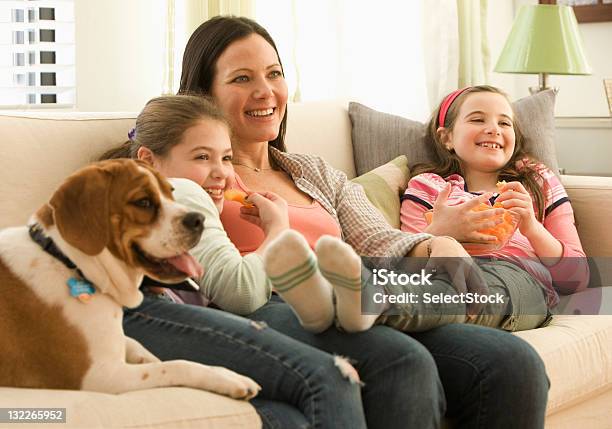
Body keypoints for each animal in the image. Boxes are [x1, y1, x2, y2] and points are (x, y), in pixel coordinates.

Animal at [0, 160, 260, 398]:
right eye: (143, 202)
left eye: (170, 191)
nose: (199, 219)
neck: (69, 261)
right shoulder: (101, 376)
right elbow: (177, 365)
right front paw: (226, 377)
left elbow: (142, 349)